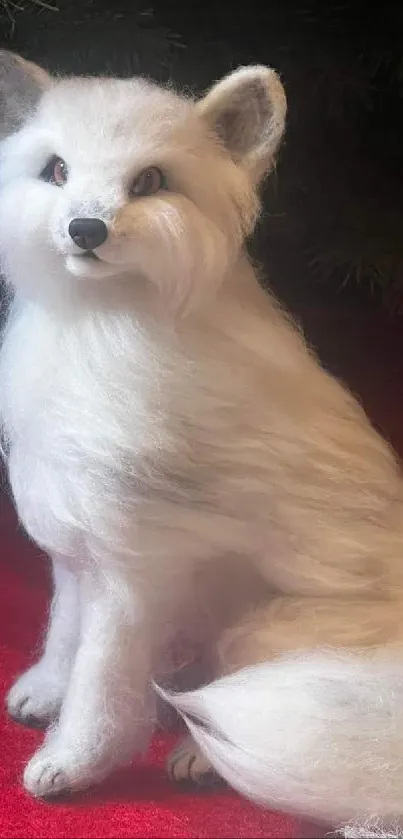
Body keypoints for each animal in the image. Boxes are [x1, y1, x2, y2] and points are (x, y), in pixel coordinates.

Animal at [0, 49, 403, 836]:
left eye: (150, 183)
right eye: (56, 171)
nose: (85, 229)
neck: (97, 324)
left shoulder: (135, 573)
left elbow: (101, 681)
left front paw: (72, 762)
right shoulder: (77, 544)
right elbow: (64, 630)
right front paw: (45, 691)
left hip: (263, 637)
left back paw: (196, 757)